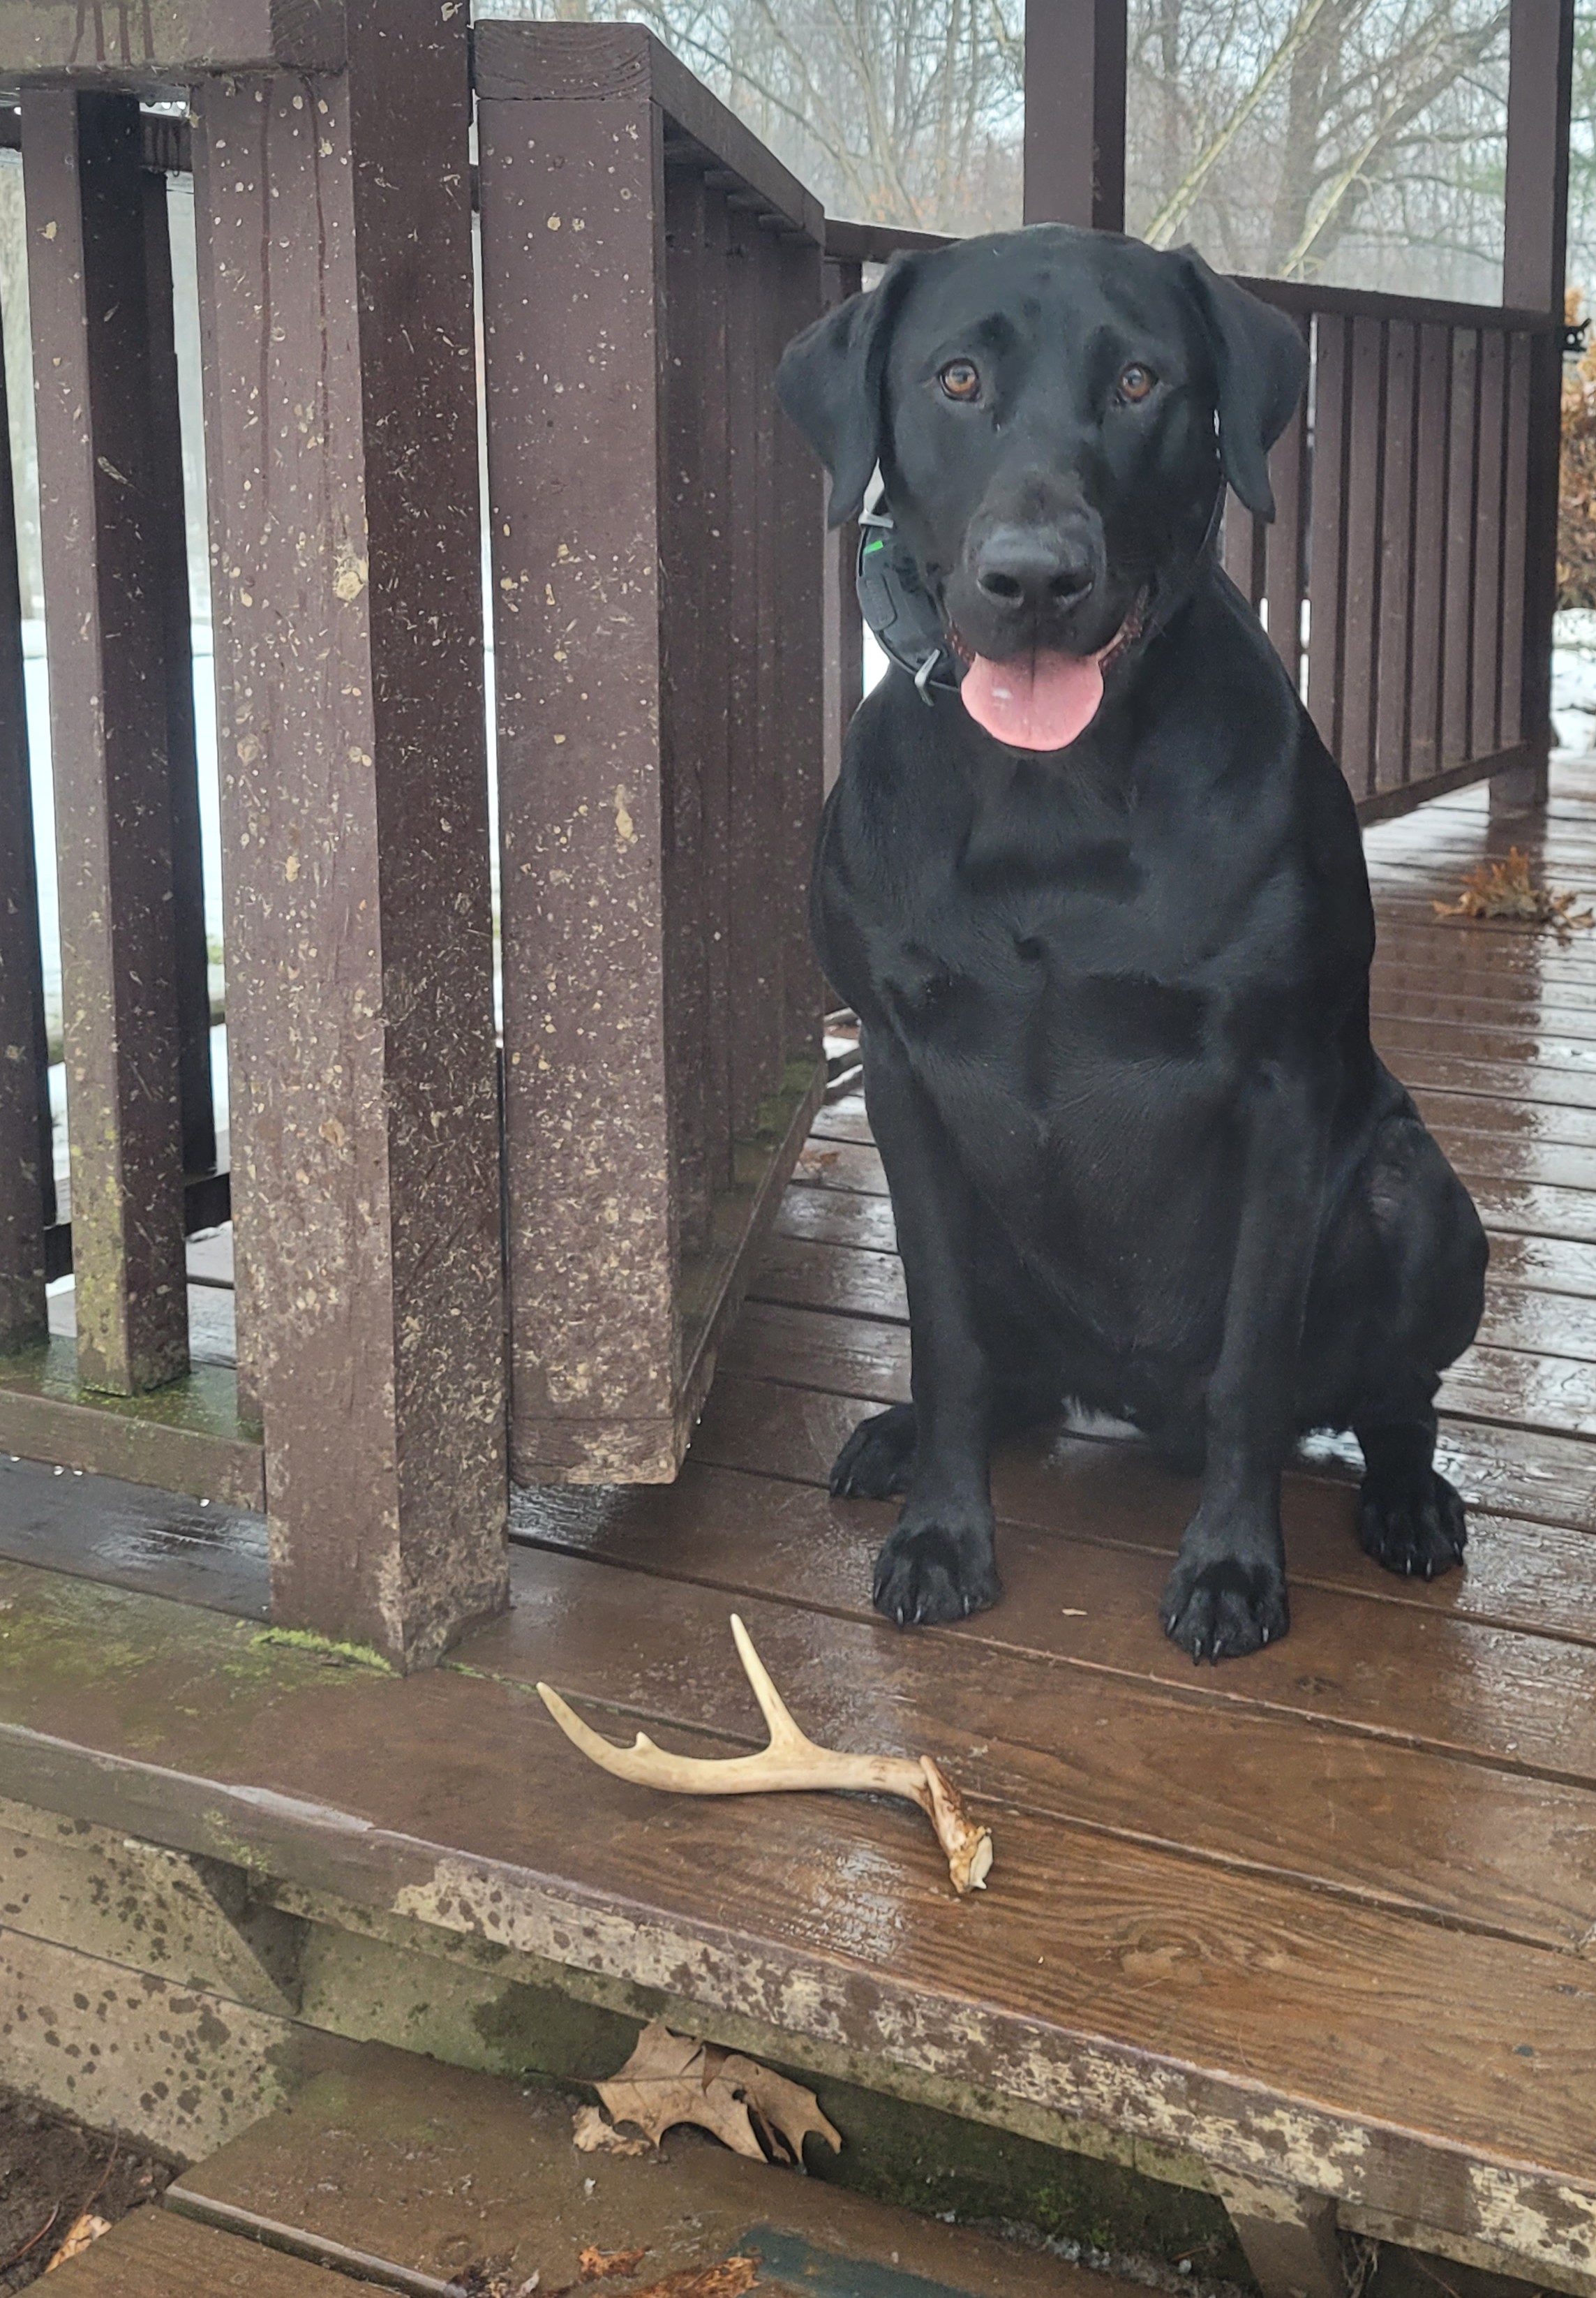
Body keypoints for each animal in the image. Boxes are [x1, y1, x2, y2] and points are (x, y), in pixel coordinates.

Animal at [776, 225, 1487, 1661]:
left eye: (1140, 381)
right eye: (953, 379)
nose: (1034, 578)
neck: (1052, 791)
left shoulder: (1278, 1089)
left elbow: (1249, 1369)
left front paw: (1230, 1567)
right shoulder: (901, 1076)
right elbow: (943, 1338)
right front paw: (942, 1534)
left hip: (1419, 1202)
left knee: (1392, 1398)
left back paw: (1406, 1500)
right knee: (1003, 1375)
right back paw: (901, 1437)